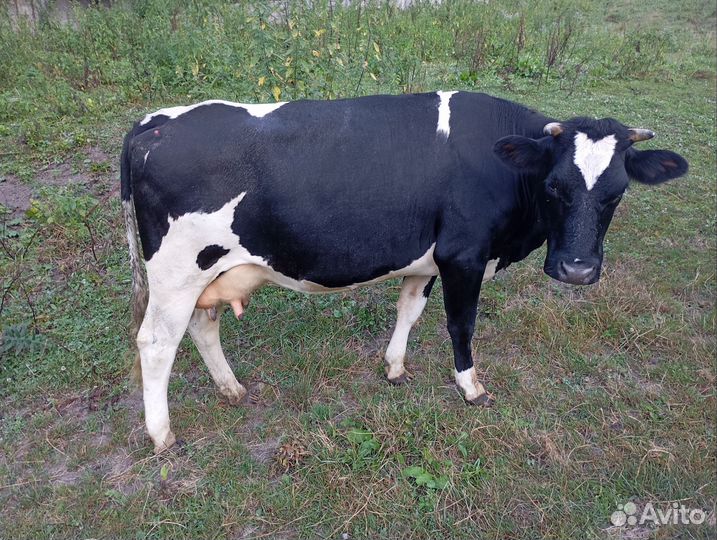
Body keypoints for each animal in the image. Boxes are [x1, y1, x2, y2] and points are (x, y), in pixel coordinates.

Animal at [120, 91, 688, 453]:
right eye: (554, 185)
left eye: (617, 192)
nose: (576, 269)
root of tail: (153, 122)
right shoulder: (464, 254)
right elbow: (461, 325)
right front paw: (471, 387)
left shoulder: (429, 258)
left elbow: (410, 310)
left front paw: (394, 367)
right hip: (177, 271)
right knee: (157, 342)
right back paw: (162, 436)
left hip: (209, 274)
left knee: (202, 326)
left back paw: (231, 389)